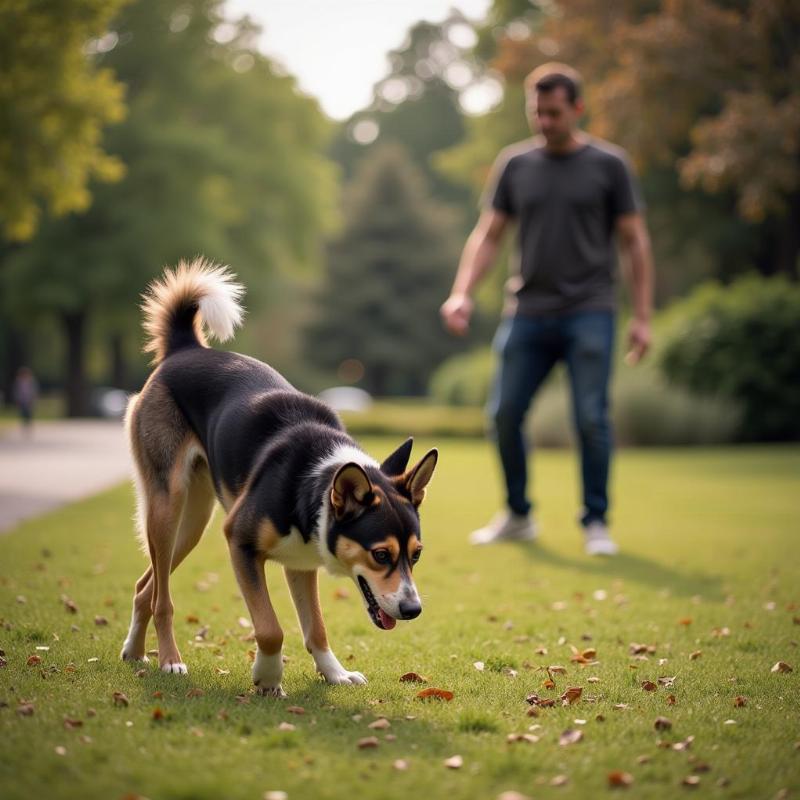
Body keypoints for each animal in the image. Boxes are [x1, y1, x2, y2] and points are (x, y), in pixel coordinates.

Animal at [120, 260, 438, 696]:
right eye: (381, 555)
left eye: (416, 554)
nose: (413, 609)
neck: (313, 483)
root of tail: (188, 348)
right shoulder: (239, 543)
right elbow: (271, 629)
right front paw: (268, 677)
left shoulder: (301, 564)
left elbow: (316, 628)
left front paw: (335, 674)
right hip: (167, 507)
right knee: (162, 600)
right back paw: (170, 660)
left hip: (192, 526)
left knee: (144, 587)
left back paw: (134, 651)